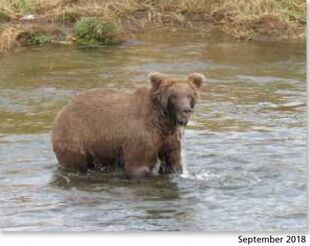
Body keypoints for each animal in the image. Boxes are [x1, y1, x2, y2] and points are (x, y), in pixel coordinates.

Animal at [51, 72, 205, 178]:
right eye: (173, 96)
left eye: (189, 96)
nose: (186, 110)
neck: (161, 121)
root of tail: (63, 110)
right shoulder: (141, 136)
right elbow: (138, 165)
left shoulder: (168, 136)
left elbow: (172, 162)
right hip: (77, 135)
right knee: (75, 163)